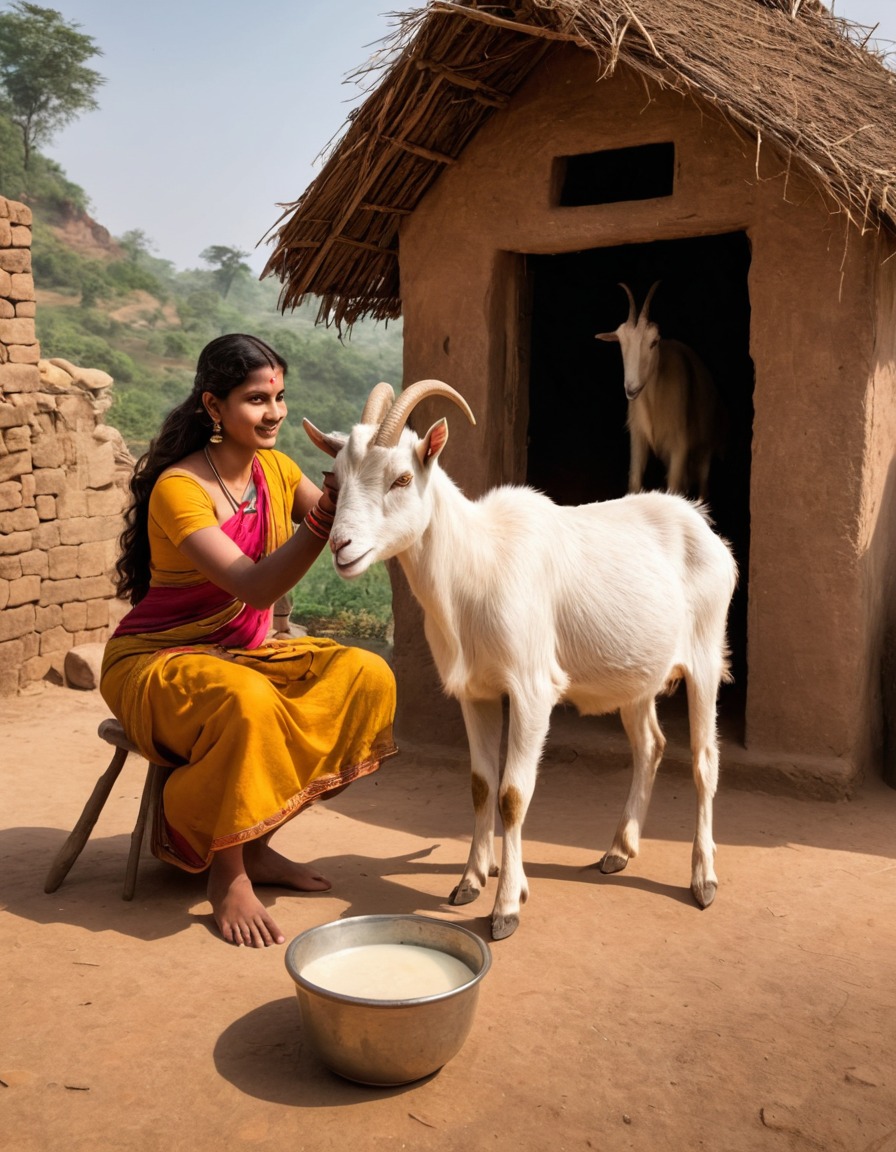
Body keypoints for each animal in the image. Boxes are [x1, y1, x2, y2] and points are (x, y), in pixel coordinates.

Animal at [304, 382, 737, 940]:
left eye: (401, 477)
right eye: (334, 477)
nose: (342, 546)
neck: (476, 564)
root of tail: (706, 531)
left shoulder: (532, 690)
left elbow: (513, 792)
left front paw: (507, 906)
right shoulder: (476, 693)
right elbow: (480, 785)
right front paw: (470, 881)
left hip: (704, 657)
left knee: (704, 761)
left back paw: (703, 879)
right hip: (637, 677)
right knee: (650, 745)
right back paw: (619, 850)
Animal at [598, 279, 723, 499]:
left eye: (654, 342)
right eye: (620, 342)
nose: (631, 389)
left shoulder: (680, 444)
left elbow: (674, 487)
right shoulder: (638, 437)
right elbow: (635, 483)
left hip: (707, 446)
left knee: (702, 489)